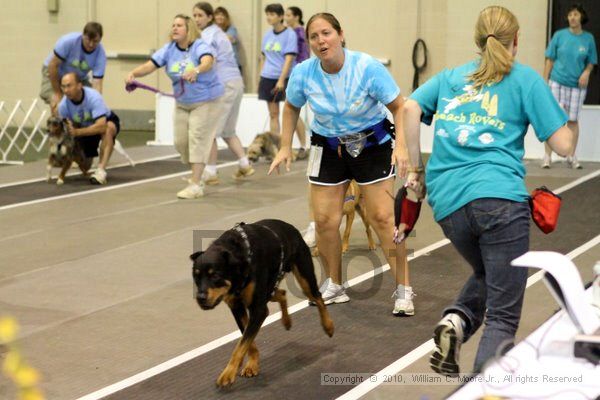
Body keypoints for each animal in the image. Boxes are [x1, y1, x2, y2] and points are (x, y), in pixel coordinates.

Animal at [191, 219, 336, 388]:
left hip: (304, 275)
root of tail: (291, 227)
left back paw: (328, 326)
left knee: (317, 297)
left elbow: (241, 344)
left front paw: (228, 373)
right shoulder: (237, 306)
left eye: (215, 276)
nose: (200, 297)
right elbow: (247, 341)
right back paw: (286, 321)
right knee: (282, 293)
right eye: (196, 277)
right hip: (269, 288)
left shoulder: (257, 309)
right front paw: (252, 365)